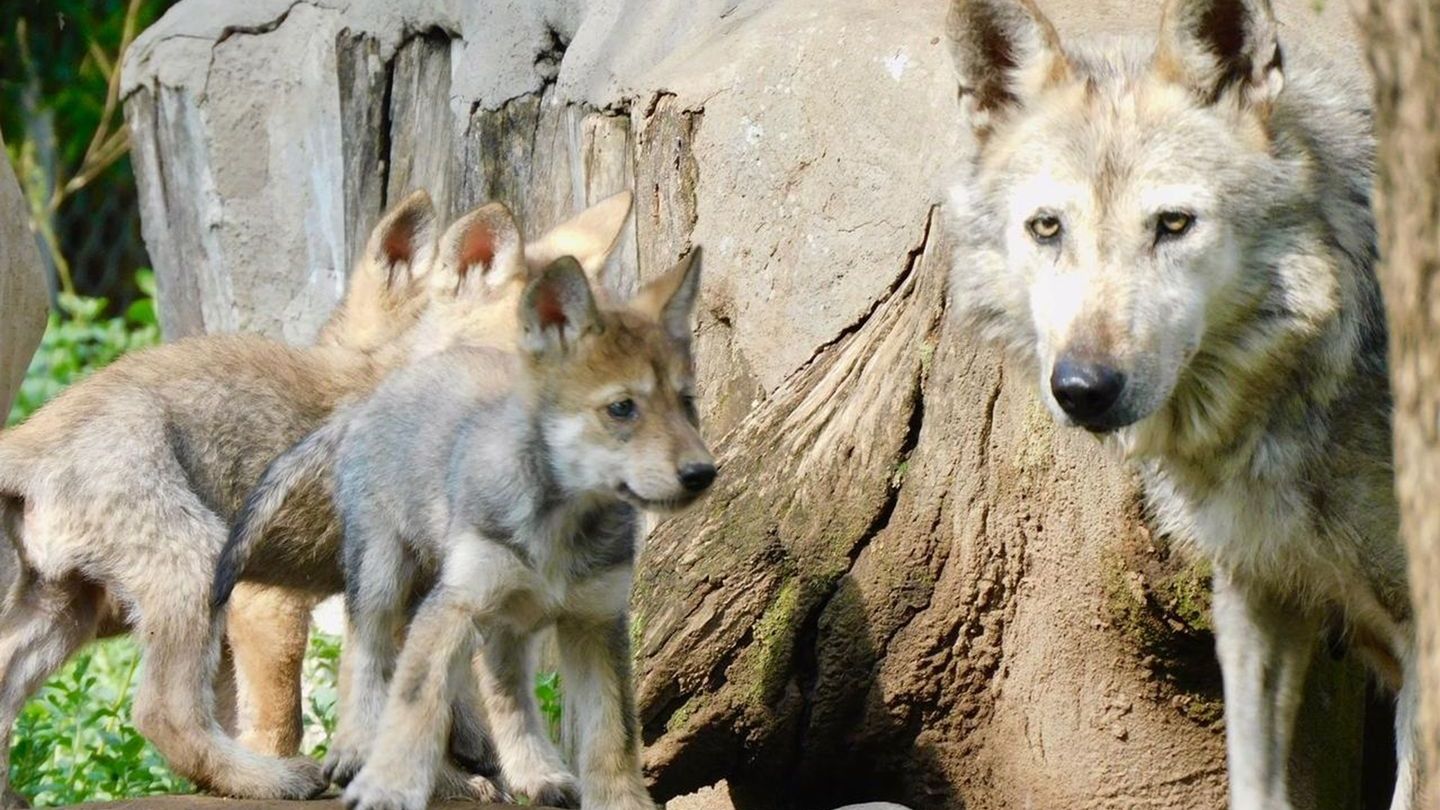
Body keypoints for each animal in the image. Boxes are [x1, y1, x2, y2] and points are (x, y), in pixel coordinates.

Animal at [0, 189, 632, 807]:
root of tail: (31, 433)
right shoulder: (344, 588)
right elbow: (387, 705)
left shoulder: (438, 587)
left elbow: (445, 694)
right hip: (193, 565)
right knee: (163, 715)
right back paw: (270, 779)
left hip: (65, 607)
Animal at [221, 251, 712, 810]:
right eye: (622, 408)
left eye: (687, 404)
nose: (703, 473)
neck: (558, 523)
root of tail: (371, 399)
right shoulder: (455, 604)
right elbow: (413, 705)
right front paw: (388, 786)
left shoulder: (596, 620)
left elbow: (614, 734)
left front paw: (621, 802)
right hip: (385, 574)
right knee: (365, 651)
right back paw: (354, 747)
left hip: (505, 620)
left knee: (505, 692)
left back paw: (535, 772)